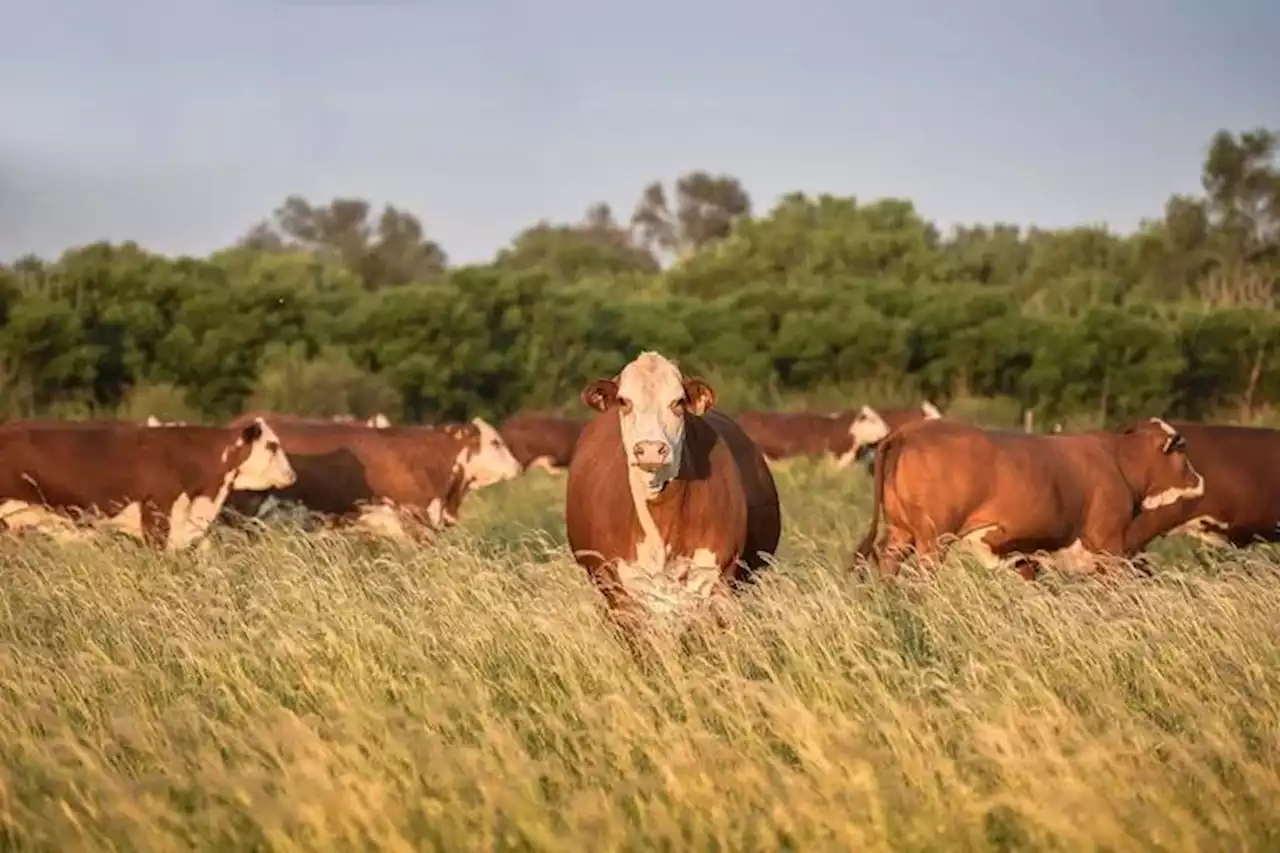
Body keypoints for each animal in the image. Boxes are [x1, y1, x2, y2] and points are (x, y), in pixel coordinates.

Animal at [855, 412, 1203, 578]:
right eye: (1182, 452)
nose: (1199, 480)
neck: (1117, 460)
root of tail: (907, 431)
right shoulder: (1109, 544)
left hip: (901, 531)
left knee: (888, 562)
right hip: (933, 537)